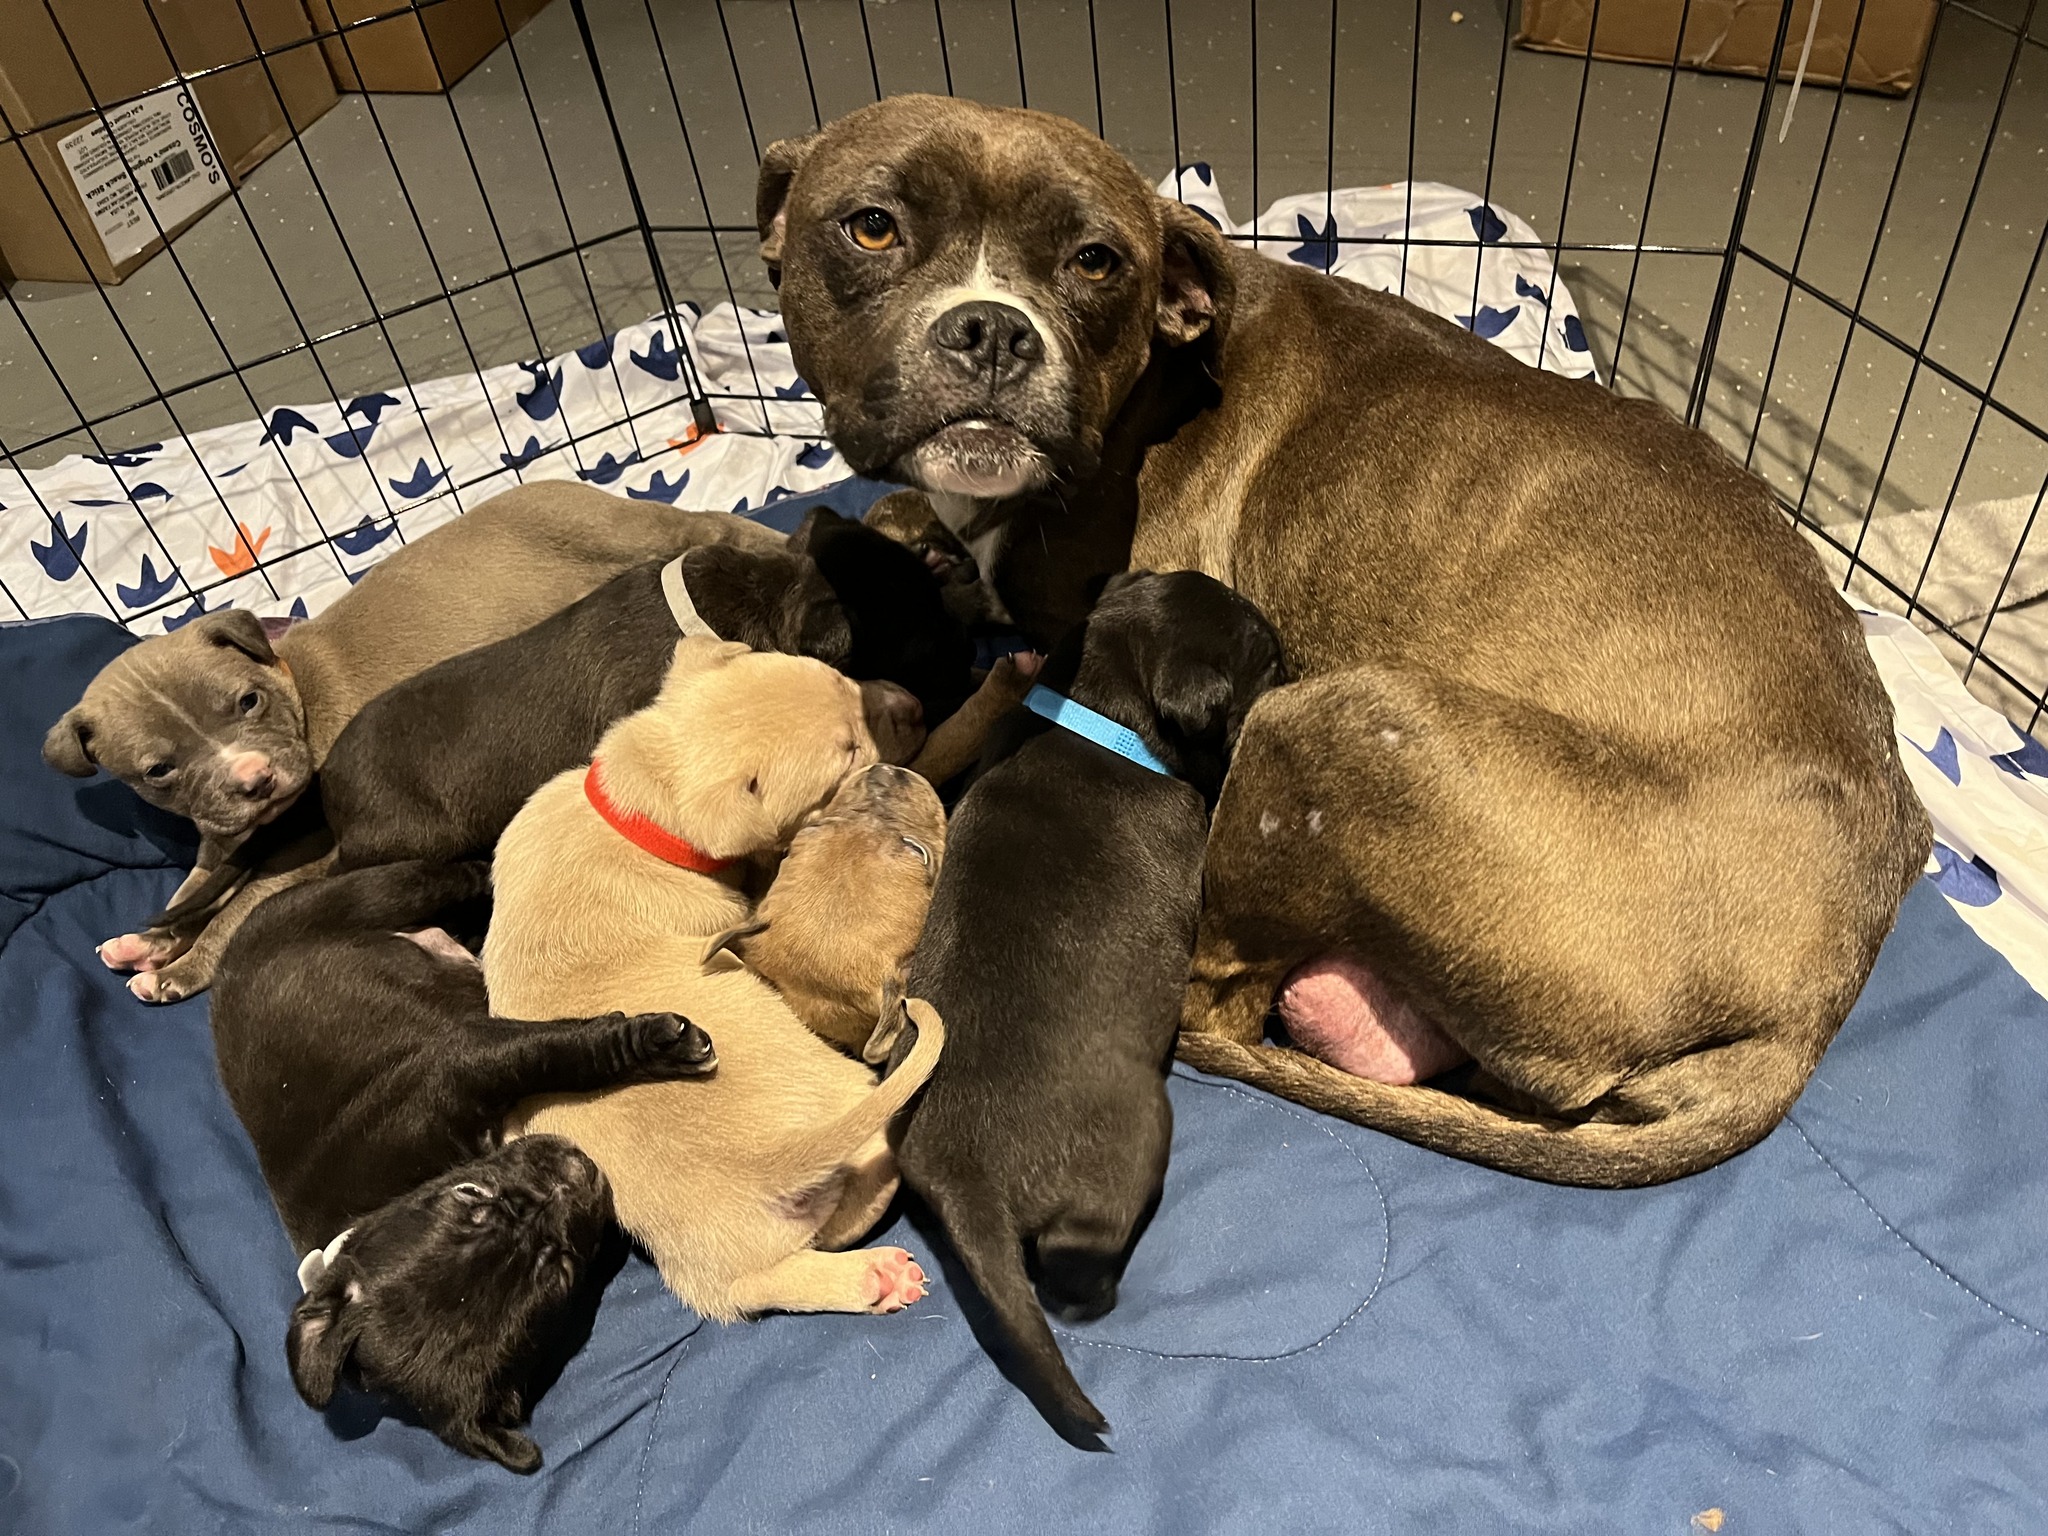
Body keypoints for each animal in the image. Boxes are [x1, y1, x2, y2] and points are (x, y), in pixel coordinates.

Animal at [487, 638, 942, 1327]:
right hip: (846, 1089)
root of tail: (764, 1166)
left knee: (755, 1284)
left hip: (714, 1259)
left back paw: (871, 1279)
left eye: (845, 679)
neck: (636, 811)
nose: (916, 702)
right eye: (848, 752)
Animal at [761, 93, 1925, 1187]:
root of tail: (1806, 1014)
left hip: (1335, 724)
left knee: (1220, 1001)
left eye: (1096, 262)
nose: (993, 330)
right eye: (870, 228)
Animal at [892, 569, 1277, 1441]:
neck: (1097, 717)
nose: (1291, 648)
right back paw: (1099, 1293)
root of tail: (964, 1173)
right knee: (1075, 1262)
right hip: (1134, 1137)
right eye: (1263, 651)